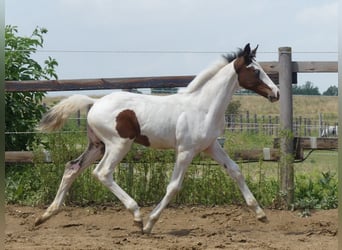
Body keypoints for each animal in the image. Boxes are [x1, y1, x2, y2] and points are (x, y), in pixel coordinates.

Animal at [35, 44, 280, 233]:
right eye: (255, 71)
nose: (276, 93)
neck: (203, 106)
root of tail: (94, 102)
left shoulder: (210, 146)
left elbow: (236, 171)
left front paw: (261, 214)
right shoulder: (186, 151)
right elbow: (173, 187)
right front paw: (150, 223)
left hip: (98, 146)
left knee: (72, 167)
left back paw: (45, 215)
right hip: (118, 144)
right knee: (102, 173)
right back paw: (136, 216)